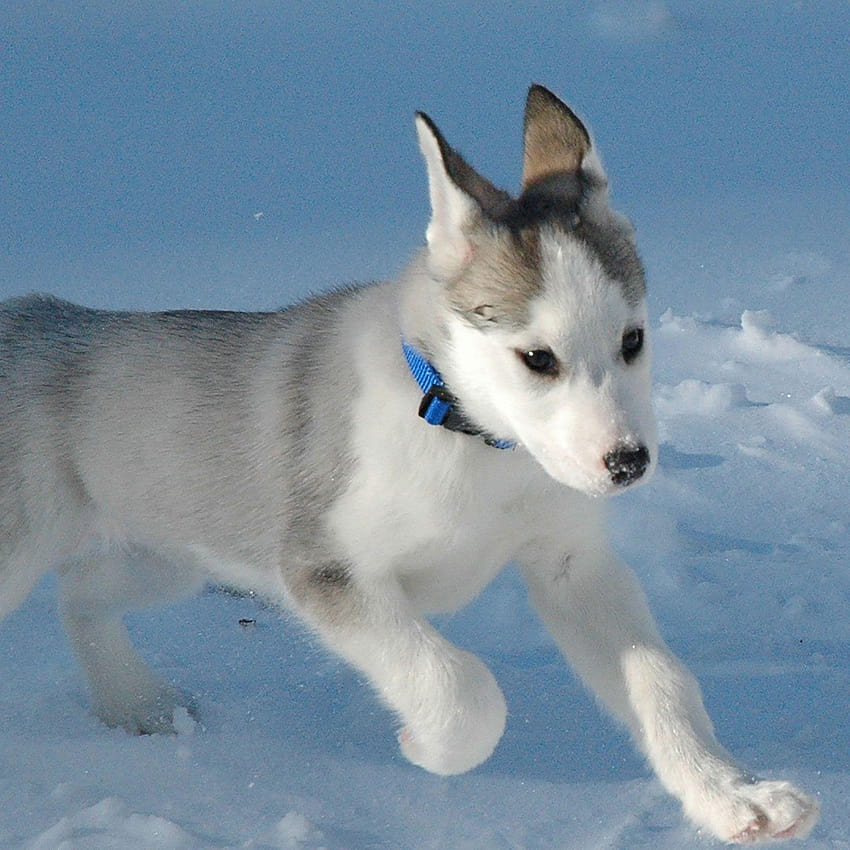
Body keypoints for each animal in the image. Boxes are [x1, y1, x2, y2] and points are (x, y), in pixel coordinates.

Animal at [3, 86, 820, 840]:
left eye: (633, 340)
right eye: (537, 358)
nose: (627, 463)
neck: (470, 436)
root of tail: (29, 317)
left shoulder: (572, 564)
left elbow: (662, 681)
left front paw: (734, 796)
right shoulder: (327, 570)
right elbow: (460, 688)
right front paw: (424, 747)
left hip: (169, 548)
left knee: (79, 595)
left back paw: (135, 703)